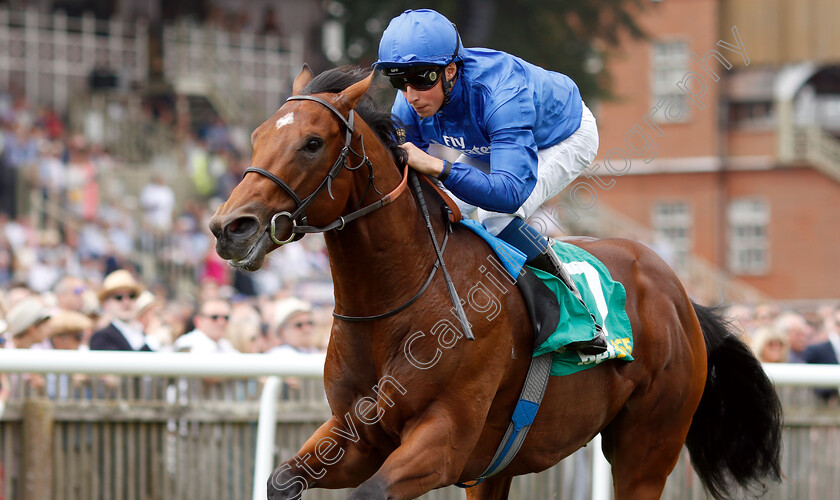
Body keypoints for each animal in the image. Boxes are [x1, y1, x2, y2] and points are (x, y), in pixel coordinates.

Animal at [208, 64, 780, 498]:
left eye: (311, 142)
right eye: (256, 136)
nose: (229, 227)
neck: (398, 301)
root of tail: (682, 299)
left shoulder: (443, 438)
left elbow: (372, 491)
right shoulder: (354, 434)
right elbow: (282, 480)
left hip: (648, 445)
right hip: (497, 468)